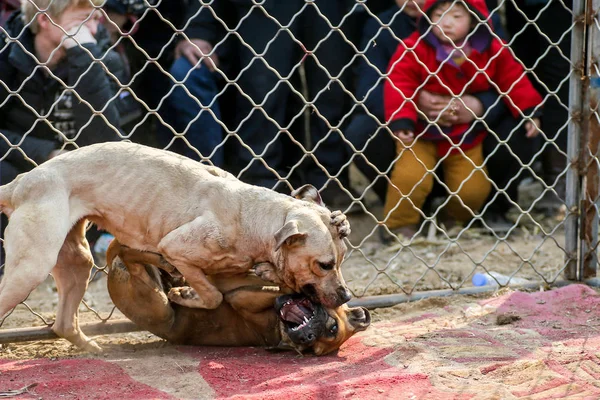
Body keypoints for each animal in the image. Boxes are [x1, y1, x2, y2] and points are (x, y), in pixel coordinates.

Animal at [108, 239, 370, 354]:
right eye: (333, 327)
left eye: (309, 350)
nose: (307, 336)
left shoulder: (242, 298)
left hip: (156, 304)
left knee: (128, 257)